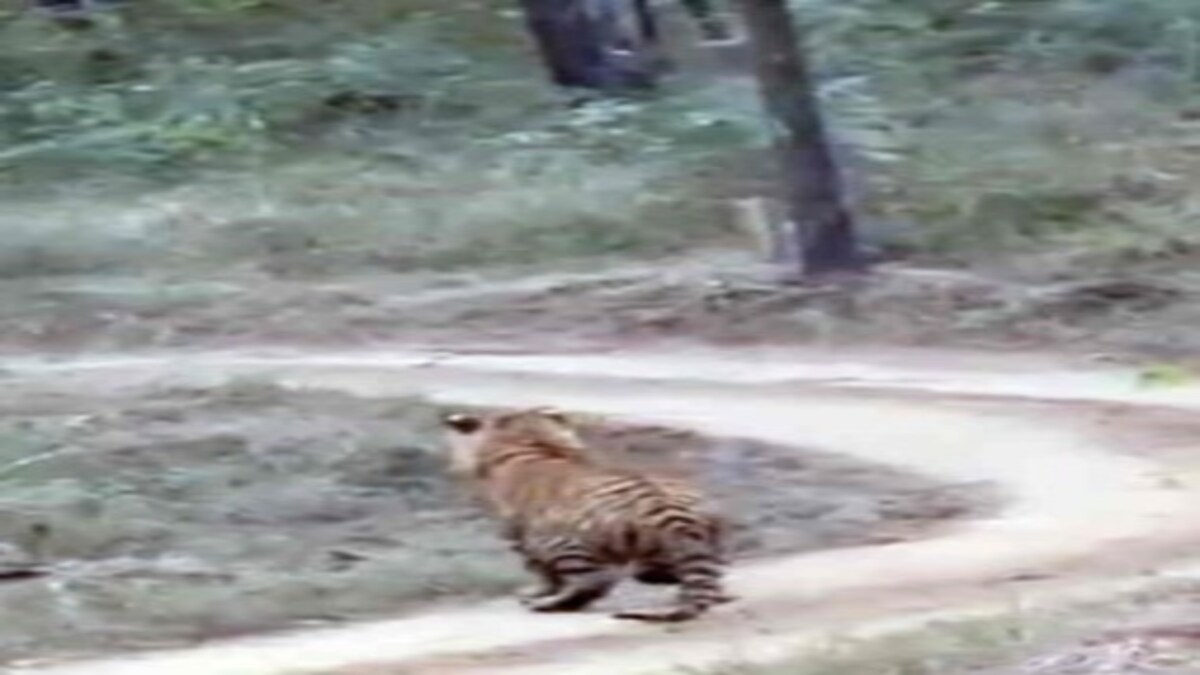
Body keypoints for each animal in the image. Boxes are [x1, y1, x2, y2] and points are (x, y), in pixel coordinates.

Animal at [440, 406, 733, 622]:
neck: (532, 443)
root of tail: (674, 515)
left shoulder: (520, 537)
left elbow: (540, 570)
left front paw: (536, 592)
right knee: (706, 579)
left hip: (563, 541)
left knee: (594, 581)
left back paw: (548, 604)